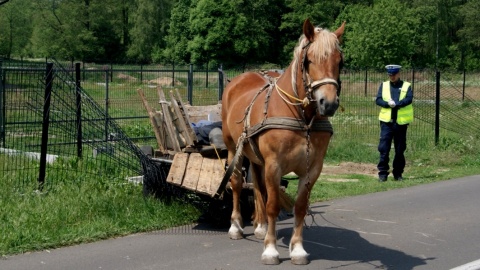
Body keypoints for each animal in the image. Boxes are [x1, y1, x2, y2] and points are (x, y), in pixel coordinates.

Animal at [221, 19, 344, 264]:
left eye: (340, 62)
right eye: (309, 60)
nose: (328, 103)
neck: (302, 118)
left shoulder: (313, 168)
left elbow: (300, 207)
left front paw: (297, 249)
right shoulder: (274, 165)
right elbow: (273, 204)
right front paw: (270, 250)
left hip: (256, 158)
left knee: (257, 187)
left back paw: (260, 226)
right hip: (233, 148)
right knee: (238, 184)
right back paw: (236, 227)